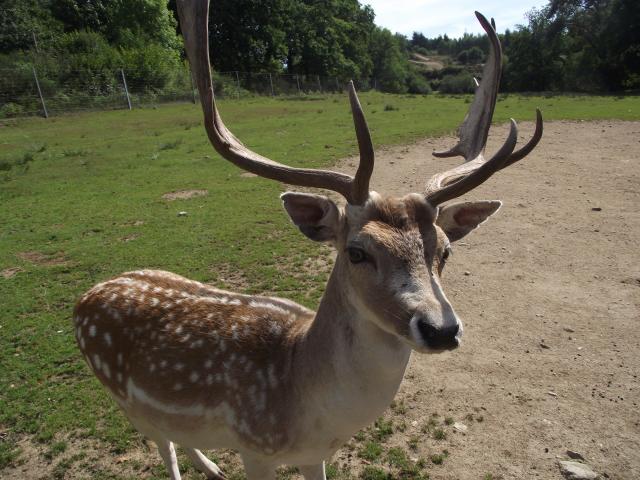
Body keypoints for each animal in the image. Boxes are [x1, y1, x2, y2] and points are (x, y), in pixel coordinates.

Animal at [75, 1, 544, 478]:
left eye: (446, 251)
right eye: (356, 252)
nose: (442, 329)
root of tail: (86, 296)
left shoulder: (317, 454)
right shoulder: (254, 447)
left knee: (177, 436)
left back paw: (213, 467)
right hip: (122, 396)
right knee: (162, 443)